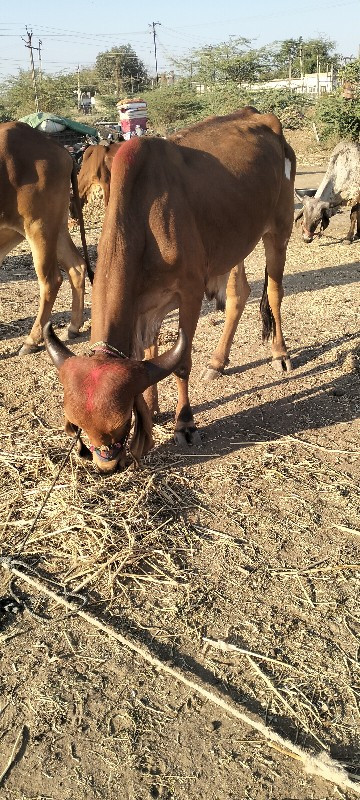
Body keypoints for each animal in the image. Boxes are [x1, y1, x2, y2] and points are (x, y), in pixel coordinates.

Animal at [0, 121, 93, 354]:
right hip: (56, 226)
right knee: (77, 267)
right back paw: (73, 327)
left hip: (39, 226)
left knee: (52, 280)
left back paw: (31, 341)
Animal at [45, 105, 296, 468]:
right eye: (76, 424)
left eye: (121, 424)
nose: (107, 465)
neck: (145, 215)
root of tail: (261, 116)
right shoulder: (145, 304)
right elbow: (147, 352)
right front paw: (153, 408)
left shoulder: (189, 293)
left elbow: (179, 363)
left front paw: (185, 423)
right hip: (233, 243)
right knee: (238, 296)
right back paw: (217, 362)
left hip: (279, 229)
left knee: (274, 293)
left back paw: (280, 353)